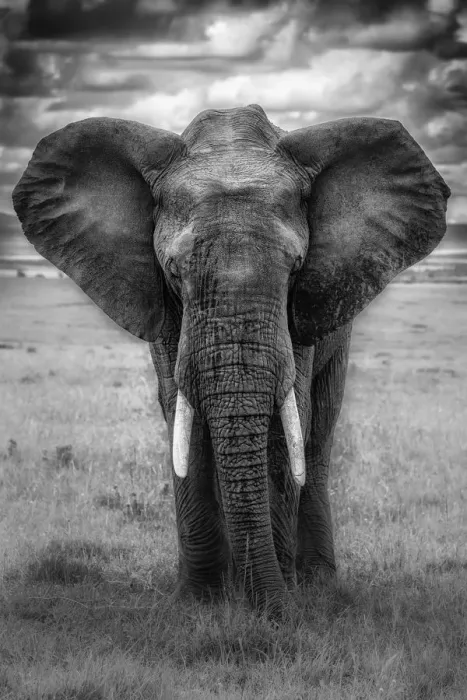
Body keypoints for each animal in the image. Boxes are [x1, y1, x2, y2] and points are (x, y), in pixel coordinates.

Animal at [12, 104, 450, 616]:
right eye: (173, 270)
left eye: (296, 268)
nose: (275, 611)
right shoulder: (167, 312)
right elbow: (182, 418)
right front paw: (198, 602)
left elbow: (287, 422)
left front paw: (278, 602)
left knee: (318, 438)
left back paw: (317, 582)